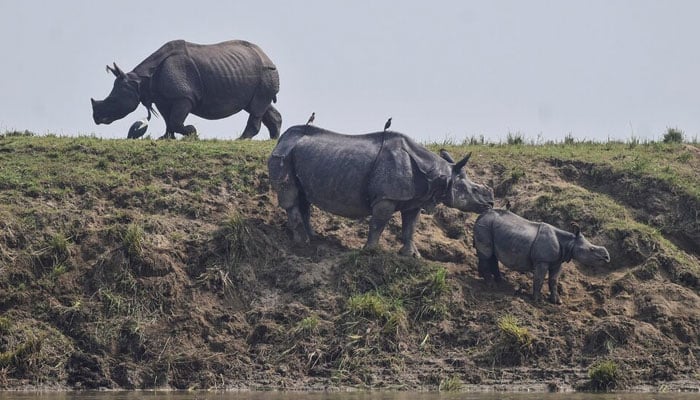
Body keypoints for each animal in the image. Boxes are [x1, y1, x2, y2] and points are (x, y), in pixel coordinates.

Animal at [474, 209, 608, 304]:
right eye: (591, 249)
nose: (607, 257)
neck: (569, 243)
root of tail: (480, 216)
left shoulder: (558, 261)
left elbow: (554, 280)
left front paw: (557, 301)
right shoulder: (542, 260)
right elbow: (539, 279)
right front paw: (537, 301)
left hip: (489, 226)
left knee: (492, 255)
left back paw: (499, 281)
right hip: (485, 225)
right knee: (487, 254)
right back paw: (491, 285)